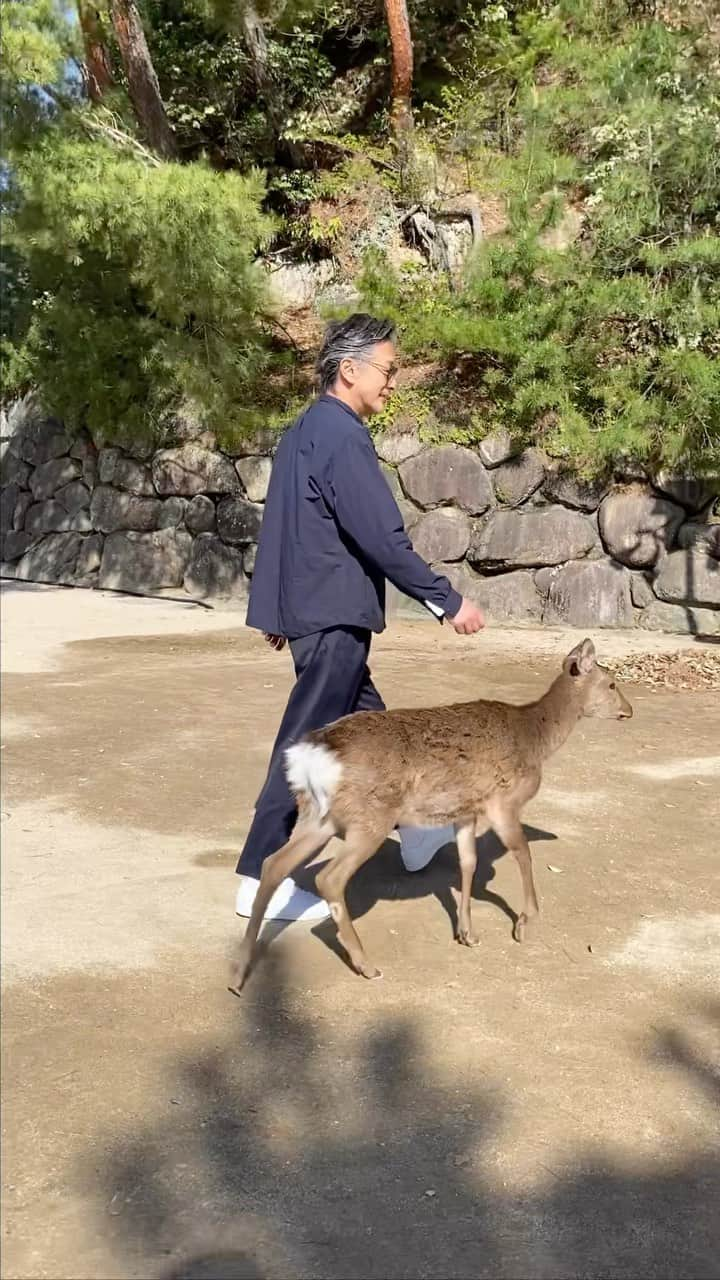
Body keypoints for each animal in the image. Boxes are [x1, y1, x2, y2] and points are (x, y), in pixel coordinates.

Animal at [229, 637, 627, 988]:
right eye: (611, 683)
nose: (629, 709)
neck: (535, 740)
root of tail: (309, 758)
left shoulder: (466, 810)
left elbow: (468, 863)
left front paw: (468, 933)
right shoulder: (503, 801)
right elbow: (522, 853)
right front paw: (526, 923)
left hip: (319, 816)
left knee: (274, 864)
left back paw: (239, 971)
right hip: (369, 818)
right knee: (329, 878)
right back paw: (366, 965)